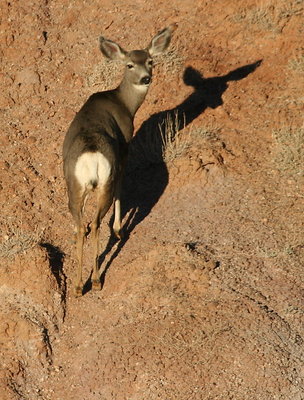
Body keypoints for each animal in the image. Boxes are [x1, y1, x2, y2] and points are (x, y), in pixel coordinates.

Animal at [62, 24, 176, 294]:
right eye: (129, 65)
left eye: (150, 61)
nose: (146, 78)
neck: (122, 102)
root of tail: (91, 154)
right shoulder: (124, 149)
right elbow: (121, 190)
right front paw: (118, 229)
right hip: (106, 179)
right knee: (95, 223)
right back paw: (95, 280)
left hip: (73, 184)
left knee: (82, 224)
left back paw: (77, 284)